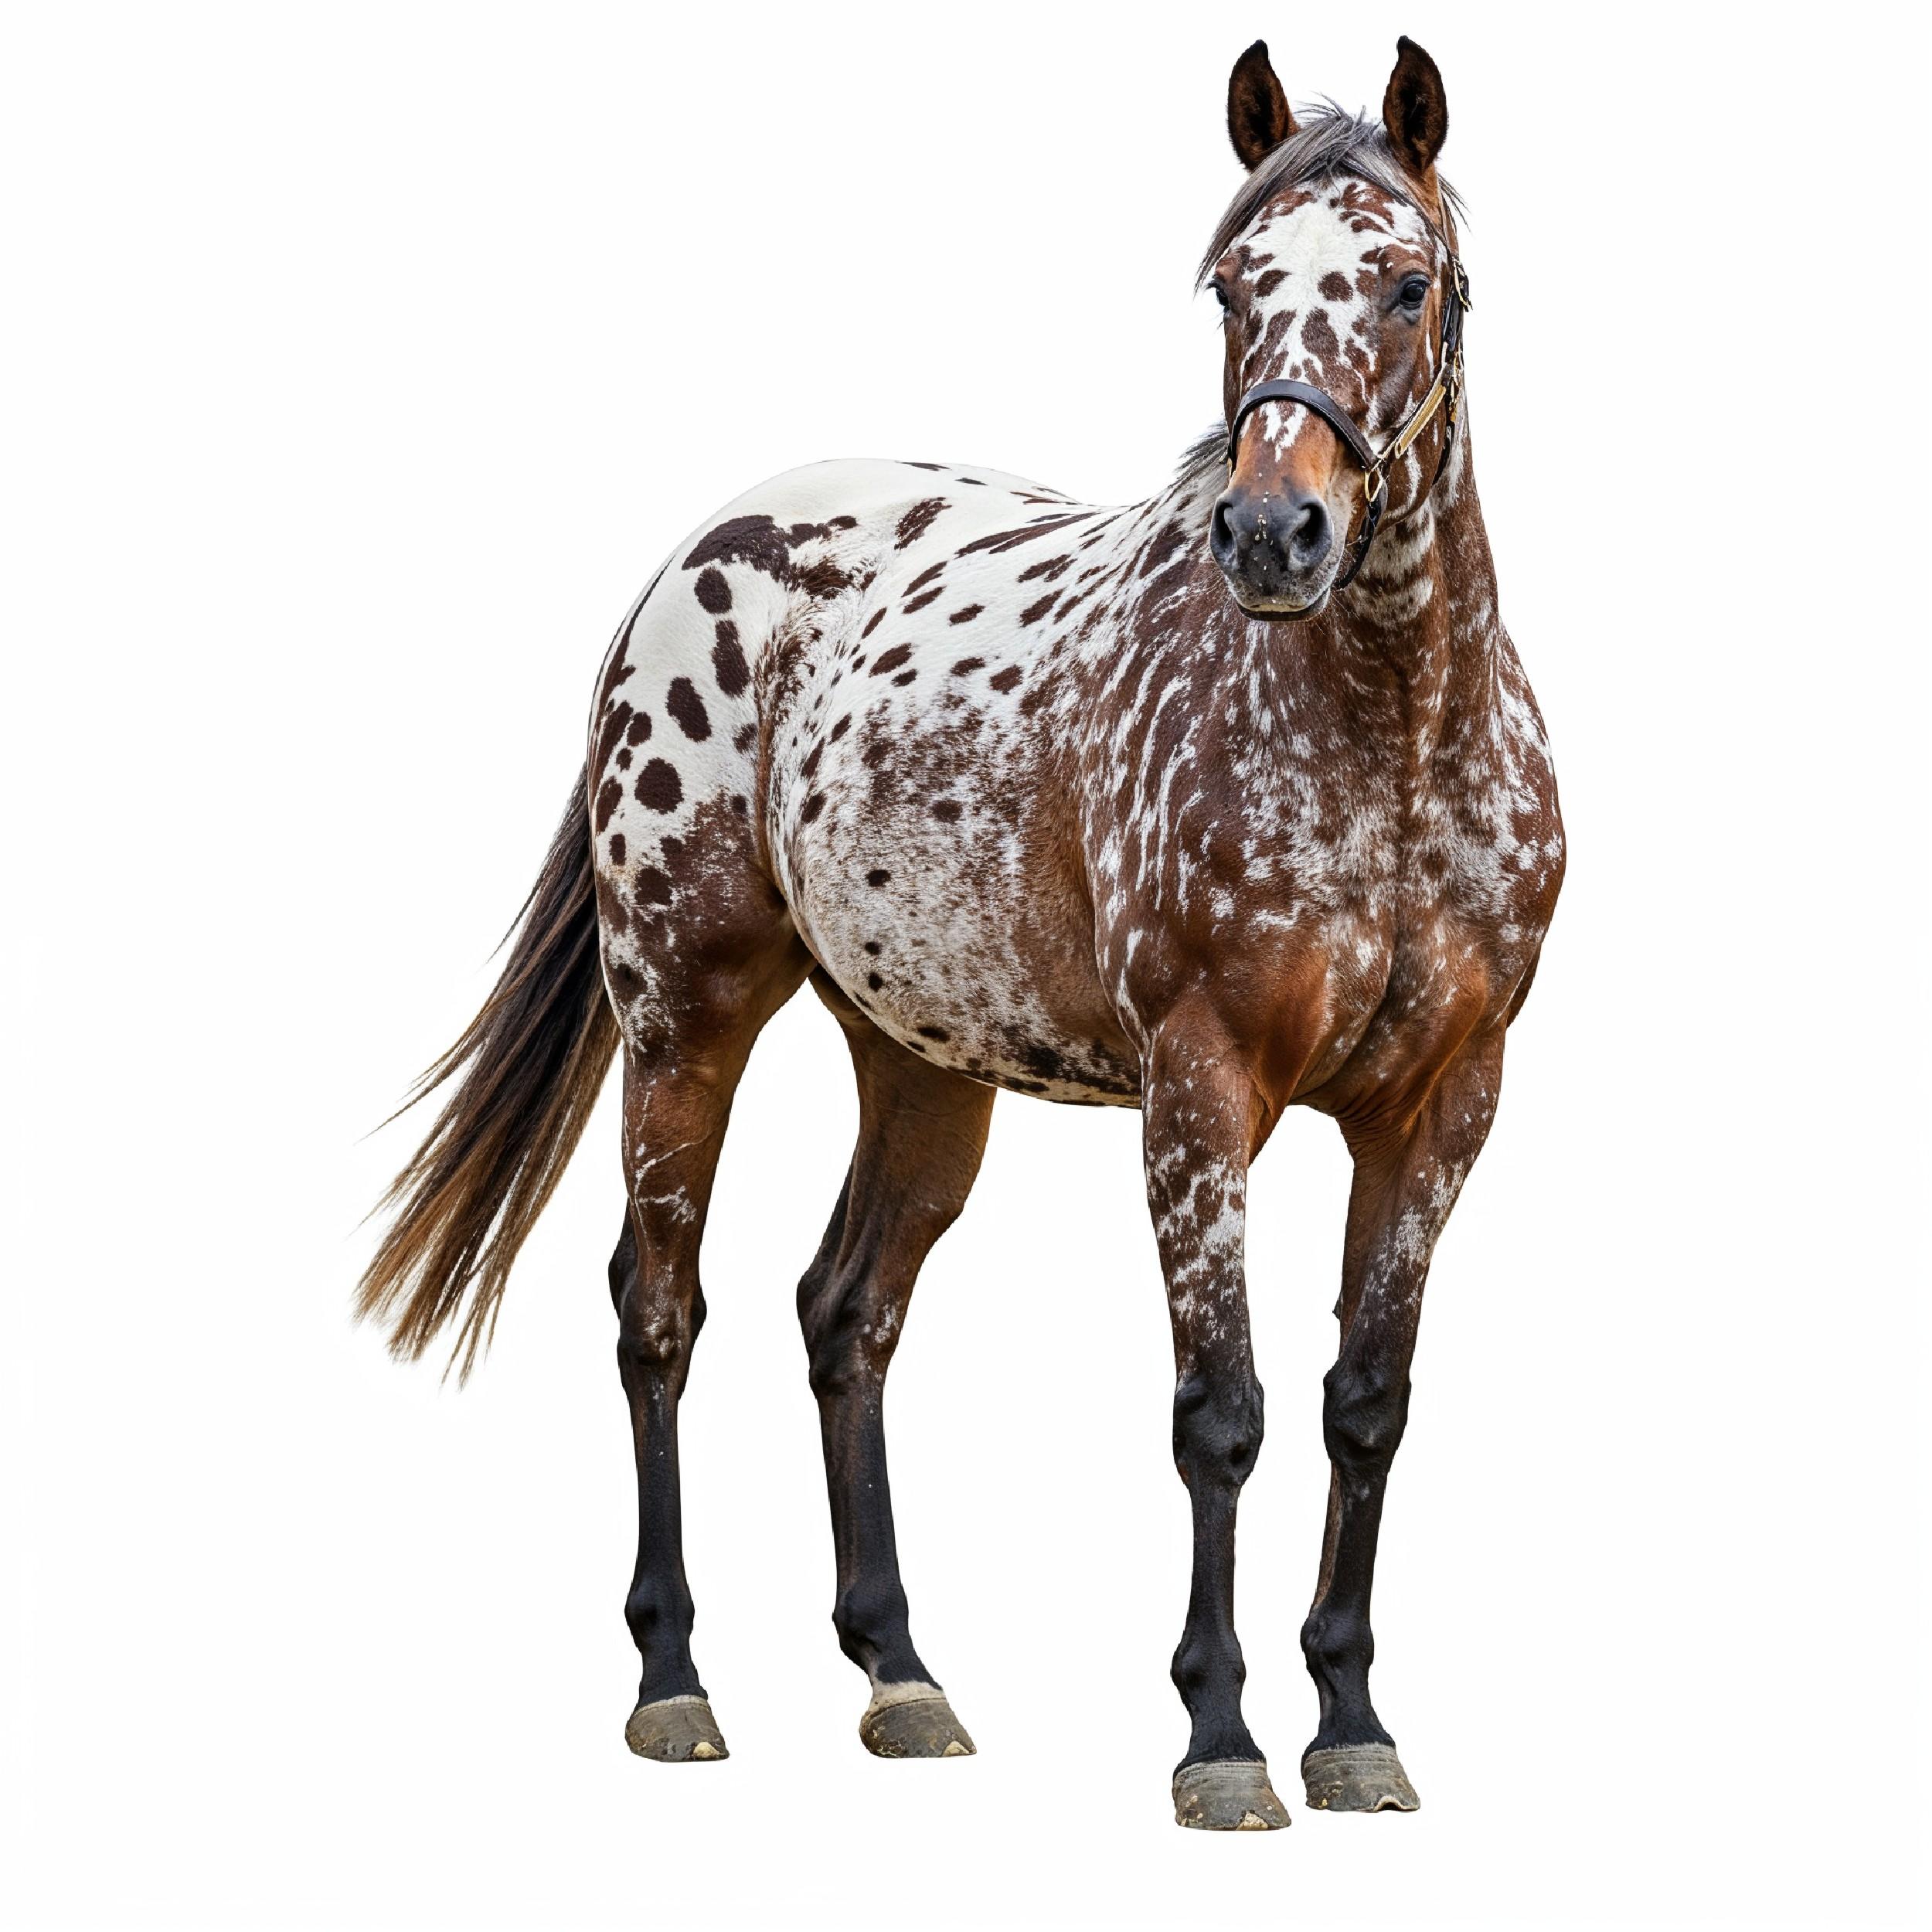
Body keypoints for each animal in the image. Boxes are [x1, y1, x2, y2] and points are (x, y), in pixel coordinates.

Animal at [359, 35, 1564, 1832]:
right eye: (1231, 282)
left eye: (1409, 282)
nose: (1272, 534)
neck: (1386, 747)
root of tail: (698, 555)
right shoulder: (1202, 1090)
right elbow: (1220, 1414)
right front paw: (1220, 1741)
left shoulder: (1440, 1106)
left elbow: (1366, 1410)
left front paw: (1350, 1721)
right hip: (683, 1019)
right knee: (660, 1308)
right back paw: (673, 1679)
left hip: (919, 1059)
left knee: (843, 1311)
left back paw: (901, 1674)